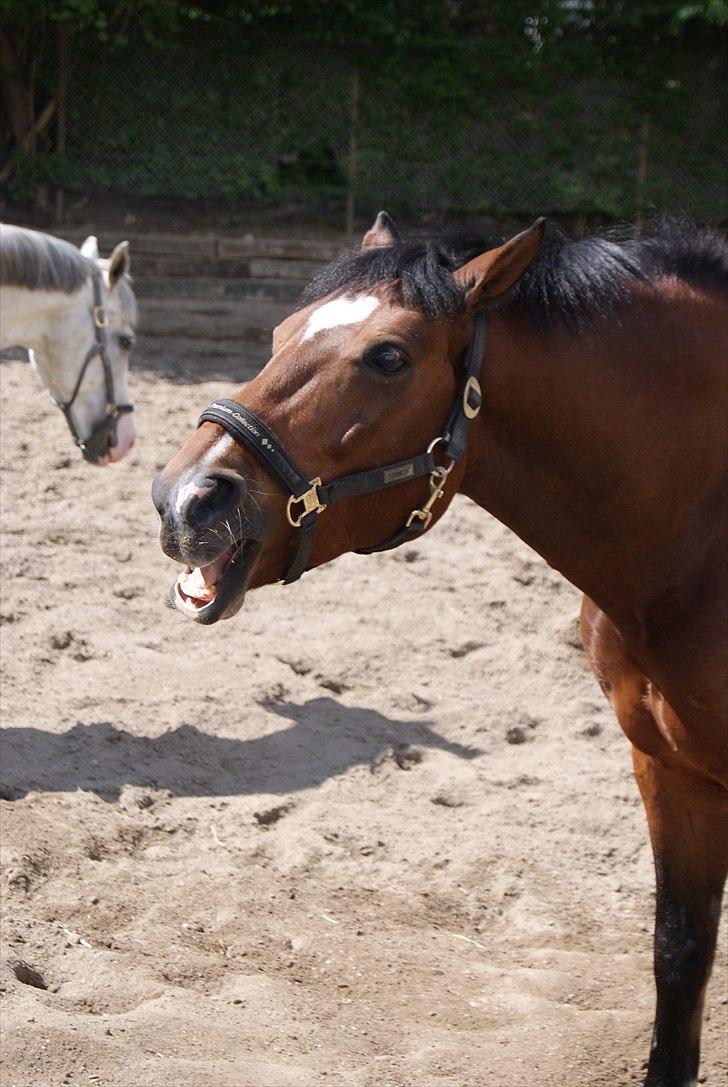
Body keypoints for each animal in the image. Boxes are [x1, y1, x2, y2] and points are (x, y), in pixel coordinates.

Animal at [152, 212, 727, 1086]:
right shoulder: (668, 768)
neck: (697, 547)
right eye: (280, 334)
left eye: (389, 356)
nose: (186, 499)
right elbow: (679, 953)